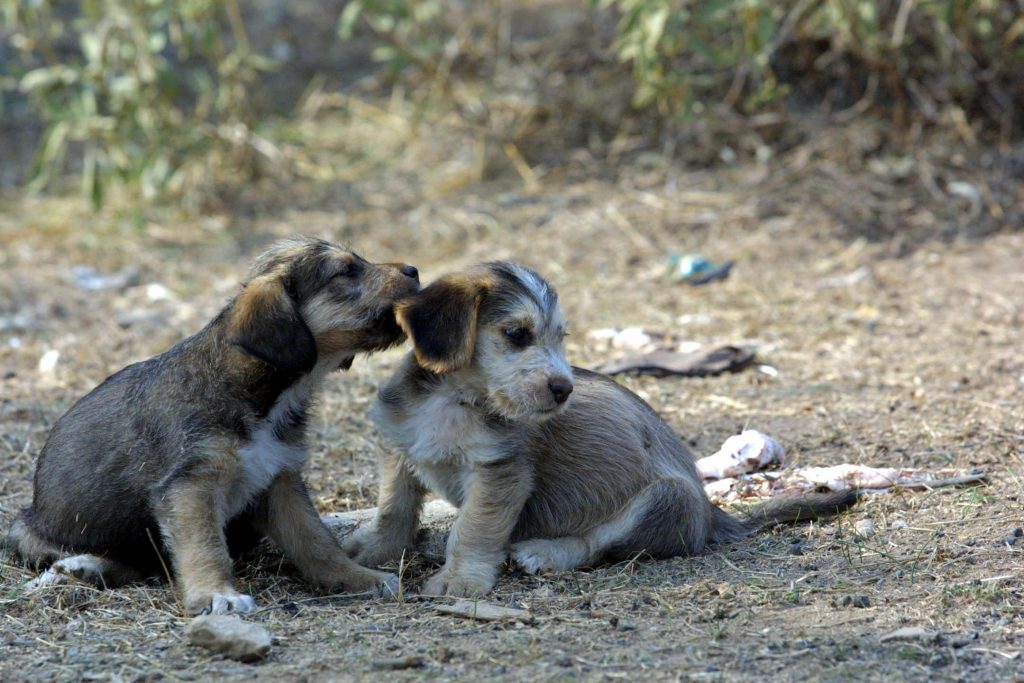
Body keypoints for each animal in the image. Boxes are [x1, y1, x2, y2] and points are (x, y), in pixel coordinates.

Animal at [9, 239, 417, 614]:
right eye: (345, 271)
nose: (414, 270)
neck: (262, 395)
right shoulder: (191, 485)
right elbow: (204, 547)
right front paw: (216, 594)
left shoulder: (279, 478)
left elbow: (315, 541)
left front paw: (357, 577)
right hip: (27, 531)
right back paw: (80, 566)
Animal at [344, 264, 856, 593]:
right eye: (517, 334)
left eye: (560, 338)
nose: (563, 389)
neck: (454, 401)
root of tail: (713, 515)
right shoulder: (400, 451)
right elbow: (393, 510)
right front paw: (373, 552)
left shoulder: (499, 473)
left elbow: (472, 530)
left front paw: (459, 579)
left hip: (663, 497)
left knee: (597, 544)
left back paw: (545, 553)